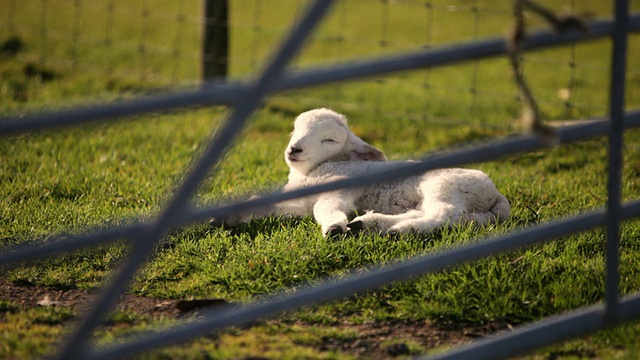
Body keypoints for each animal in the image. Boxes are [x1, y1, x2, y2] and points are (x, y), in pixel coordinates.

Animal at [220, 107, 510, 236]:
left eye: (329, 140)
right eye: (295, 128)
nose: (295, 149)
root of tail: (496, 197)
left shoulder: (341, 184)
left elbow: (324, 209)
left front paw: (333, 227)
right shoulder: (300, 200)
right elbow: (267, 205)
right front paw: (226, 218)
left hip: (446, 186)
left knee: (445, 214)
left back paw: (401, 230)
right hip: (468, 209)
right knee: (450, 218)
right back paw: (370, 224)